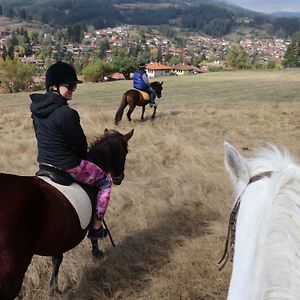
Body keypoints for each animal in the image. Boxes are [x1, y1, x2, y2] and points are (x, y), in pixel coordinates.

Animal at [0, 128, 134, 300]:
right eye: (126, 151)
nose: (119, 178)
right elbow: (93, 235)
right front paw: (96, 253)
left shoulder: (58, 235)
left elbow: (57, 259)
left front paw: (54, 289)